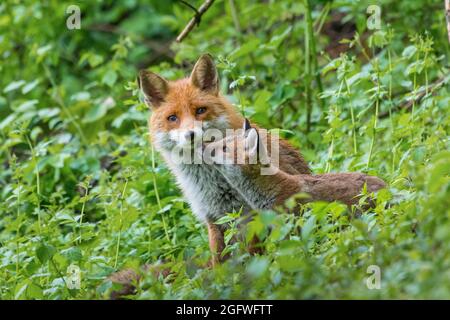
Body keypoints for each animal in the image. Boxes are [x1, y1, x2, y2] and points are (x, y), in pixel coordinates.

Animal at [139, 54, 312, 264]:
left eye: (200, 110)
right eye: (173, 118)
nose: (191, 135)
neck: (215, 183)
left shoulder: (253, 215)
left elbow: (254, 255)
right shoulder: (213, 218)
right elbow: (219, 261)